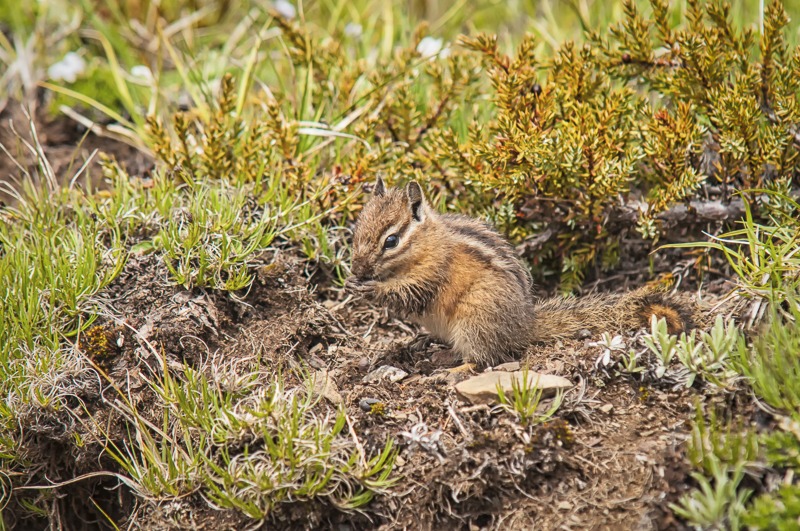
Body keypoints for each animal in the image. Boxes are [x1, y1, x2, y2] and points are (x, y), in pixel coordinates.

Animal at [347, 178, 694, 368]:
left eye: (391, 241)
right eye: (357, 229)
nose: (357, 268)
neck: (426, 242)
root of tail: (524, 324)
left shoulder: (433, 272)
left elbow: (409, 293)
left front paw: (371, 289)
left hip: (476, 317)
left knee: (481, 359)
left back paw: (449, 370)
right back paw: (424, 341)